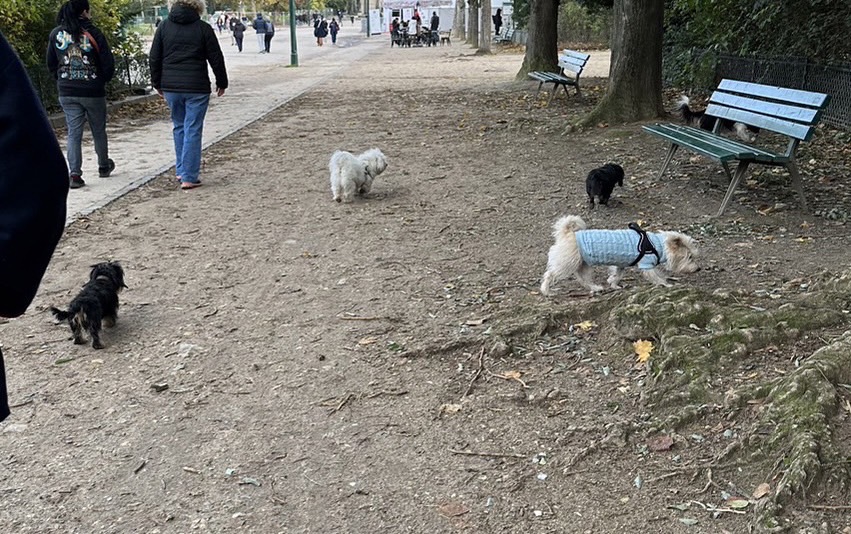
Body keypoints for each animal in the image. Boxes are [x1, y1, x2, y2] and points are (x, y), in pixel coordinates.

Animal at [544, 215, 704, 298]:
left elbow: (617, 275)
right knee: (550, 275)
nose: (698, 269)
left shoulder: (620, 265)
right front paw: (666, 284)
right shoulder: (647, 265)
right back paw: (546, 290)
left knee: (583, 278)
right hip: (566, 263)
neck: (657, 245)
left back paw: (595, 288)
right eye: (690, 257)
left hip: (583, 264)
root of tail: (568, 233)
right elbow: (656, 276)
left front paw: (614, 284)